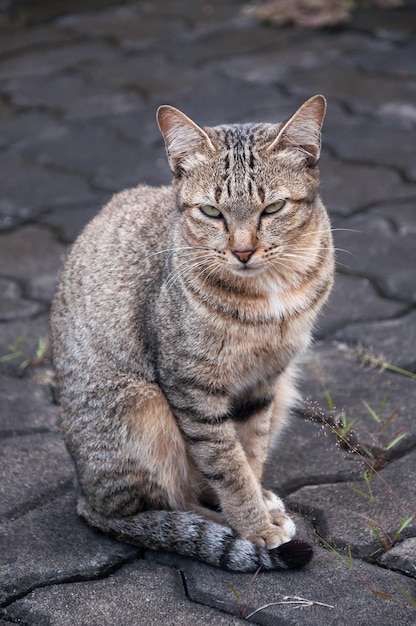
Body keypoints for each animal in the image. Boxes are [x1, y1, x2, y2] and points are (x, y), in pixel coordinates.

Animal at [50, 94, 334, 572]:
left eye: (272, 209)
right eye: (212, 212)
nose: (243, 251)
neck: (270, 291)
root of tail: (82, 493)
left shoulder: (265, 380)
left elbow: (250, 452)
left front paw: (257, 504)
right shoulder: (192, 388)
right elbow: (227, 466)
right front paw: (254, 529)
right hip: (140, 405)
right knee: (158, 506)